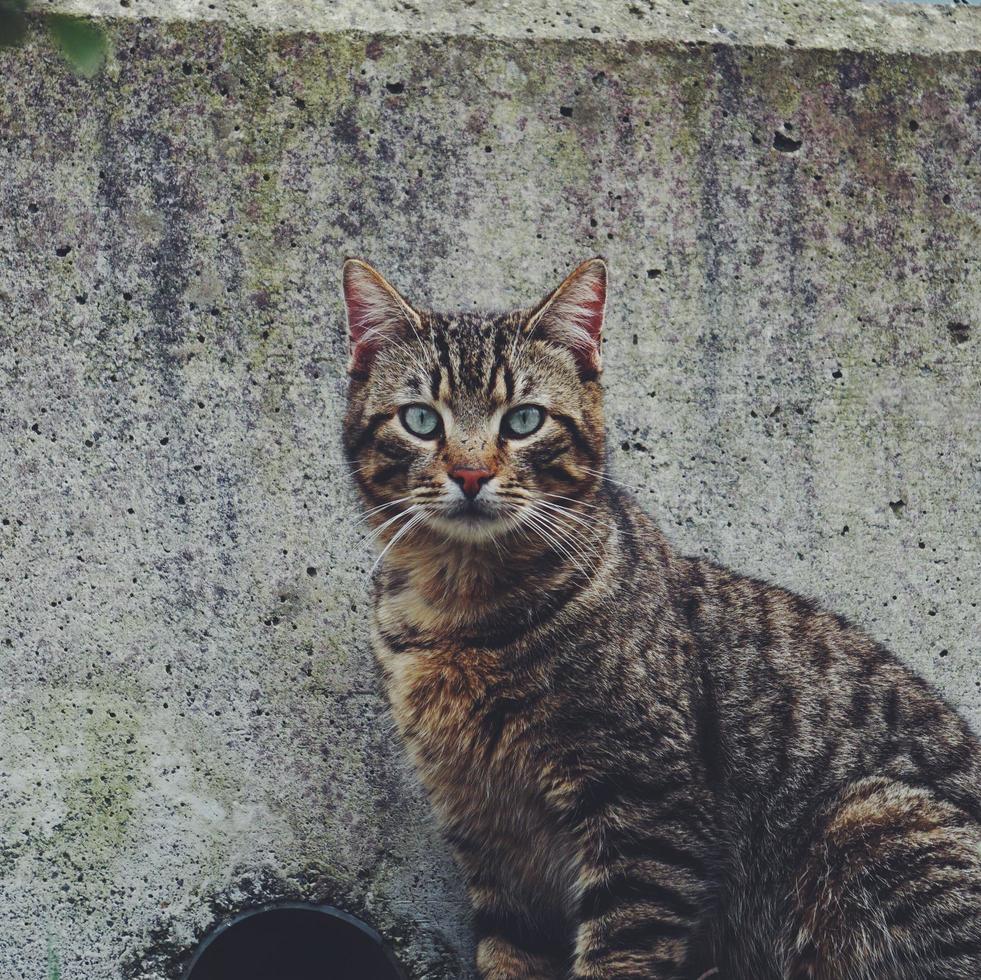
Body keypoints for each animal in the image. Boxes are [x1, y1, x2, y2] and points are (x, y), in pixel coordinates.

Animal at [338, 256, 980, 976]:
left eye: (523, 419)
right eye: (422, 420)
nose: (470, 474)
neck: (460, 609)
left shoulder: (648, 817)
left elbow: (618, 956)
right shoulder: (491, 839)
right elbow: (509, 954)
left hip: (870, 821)